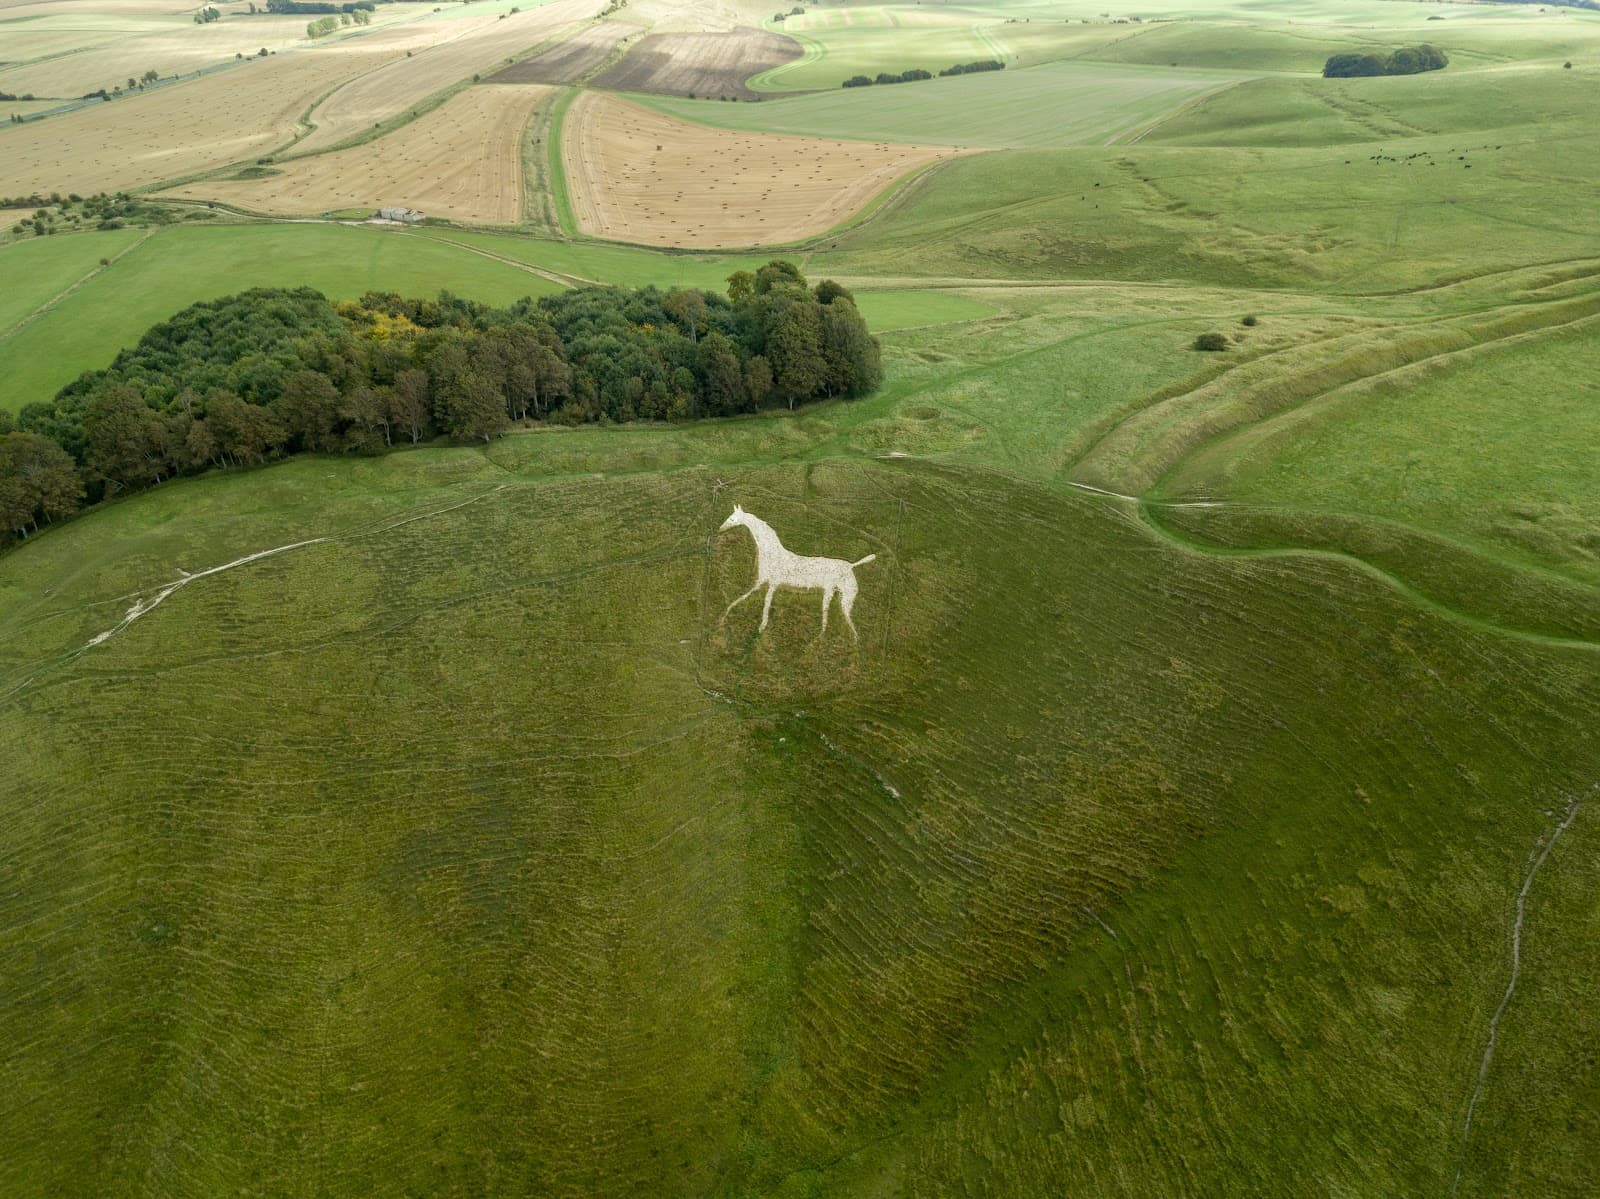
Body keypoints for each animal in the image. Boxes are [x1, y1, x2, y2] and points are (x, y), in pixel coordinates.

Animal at [718, 505, 876, 639]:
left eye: (732, 519)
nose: (720, 529)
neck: (771, 553)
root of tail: (851, 566)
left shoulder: (772, 584)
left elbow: (766, 604)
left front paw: (761, 627)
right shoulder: (761, 581)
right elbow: (743, 597)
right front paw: (725, 614)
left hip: (843, 598)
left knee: (846, 624)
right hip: (834, 595)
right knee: (831, 621)